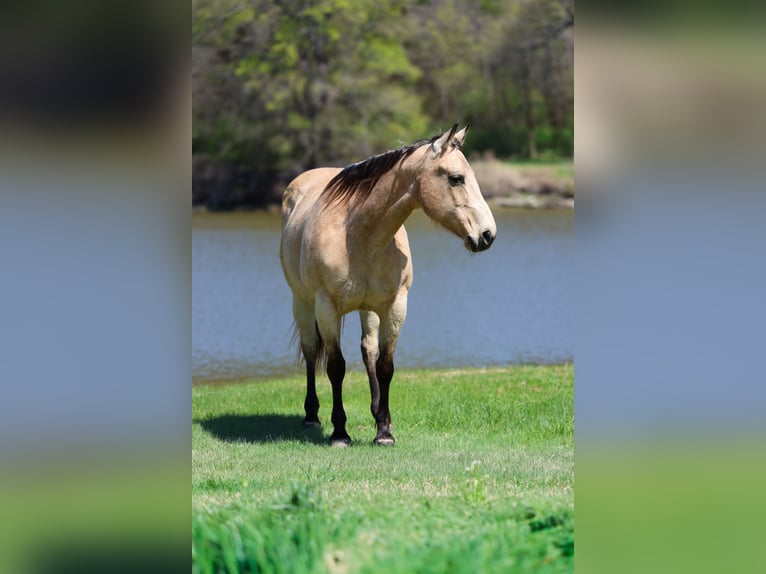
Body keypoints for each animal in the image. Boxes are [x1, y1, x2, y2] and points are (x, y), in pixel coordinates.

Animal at [279, 124, 496, 446]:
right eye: (456, 178)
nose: (487, 235)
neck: (357, 234)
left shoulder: (395, 306)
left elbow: (385, 365)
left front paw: (384, 431)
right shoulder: (327, 308)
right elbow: (335, 367)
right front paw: (340, 432)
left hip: (367, 309)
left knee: (368, 350)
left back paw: (376, 414)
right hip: (302, 302)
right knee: (310, 350)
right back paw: (311, 416)